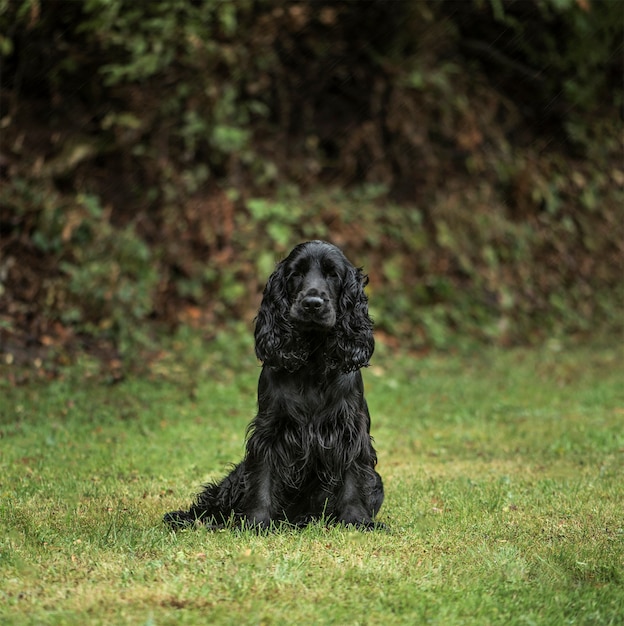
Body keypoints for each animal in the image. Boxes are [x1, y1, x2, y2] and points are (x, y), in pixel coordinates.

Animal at [163, 239, 382, 528]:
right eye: (295, 274)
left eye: (333, 274)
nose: (312, 303)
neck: (312, 360)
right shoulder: (270, 430)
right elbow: (263, 476)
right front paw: (256, 522)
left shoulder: (349, 428)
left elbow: (353, 476)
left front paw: (357, 520)